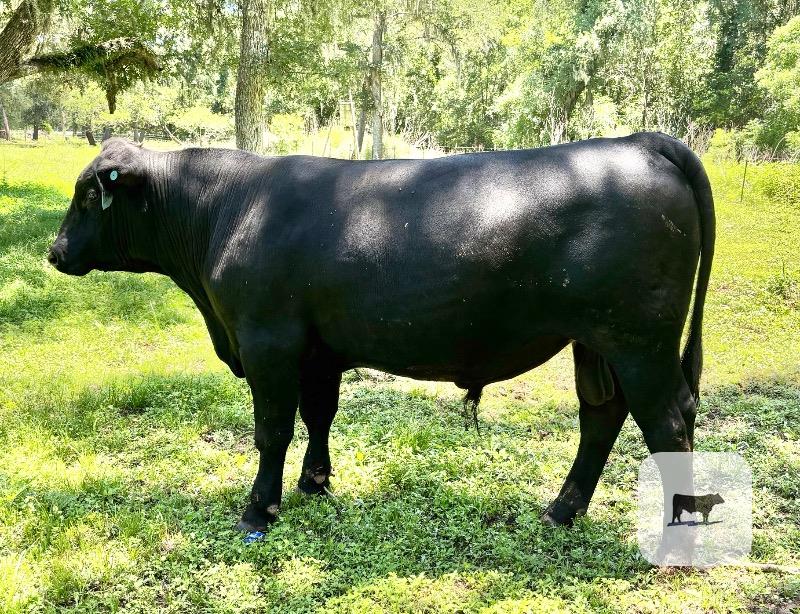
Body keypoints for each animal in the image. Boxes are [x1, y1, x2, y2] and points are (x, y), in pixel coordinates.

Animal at [48, 132, 715, 532]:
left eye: (84, 195)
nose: (54, 252)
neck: (227, 209)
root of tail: (638, 141)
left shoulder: (267, 342)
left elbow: (272, 430)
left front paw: (259, 509)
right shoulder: (317, 351)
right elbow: (318, 416)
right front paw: (315, 484)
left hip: (640, 341)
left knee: (667, 422)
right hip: (596, 342)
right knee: (602, 416)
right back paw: (562, 511)